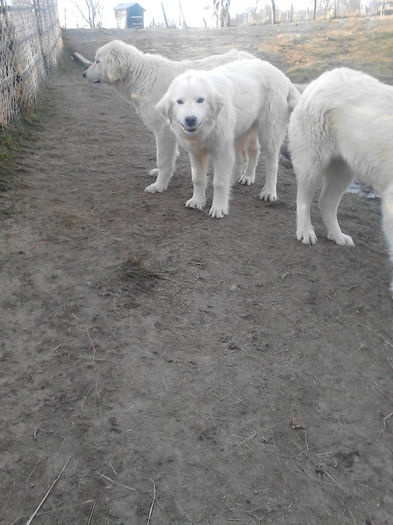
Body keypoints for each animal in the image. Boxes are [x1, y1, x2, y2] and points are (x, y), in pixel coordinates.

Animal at [76, 39, 254, 192]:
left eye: (97, 61)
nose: (83, 74)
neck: (141, 76)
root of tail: (252, 58)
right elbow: (170, 157)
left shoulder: (163, 131)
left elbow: (162, 160)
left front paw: (159, 186)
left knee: (254, 151)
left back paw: (248, 177)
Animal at [155, 58, 298, 217]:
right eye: (179, 101)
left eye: (200, 100)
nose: (190, 119)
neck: (208, 127)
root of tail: (282, 75)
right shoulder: (196, 152)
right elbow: (198, 179)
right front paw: (197, 201)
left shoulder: (222, 151)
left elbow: (219, 182)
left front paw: (218, 208)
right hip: (243, 130)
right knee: (247, 155)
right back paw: (245, 177)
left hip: (269, 131)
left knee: (272, 164)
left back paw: (269, 192)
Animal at [286, 66, 392, 294]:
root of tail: (321, 78)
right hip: (312, 164)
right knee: (303, 201)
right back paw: (305, 232)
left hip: (344, 170)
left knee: (326, 203)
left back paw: (337, 235)